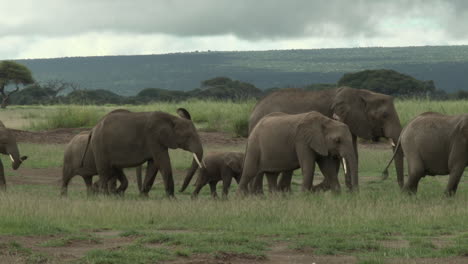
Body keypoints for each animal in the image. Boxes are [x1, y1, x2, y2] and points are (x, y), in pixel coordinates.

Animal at [249, 86, 402, 192]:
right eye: (384, 115)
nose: (384, 174)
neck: (360, 93)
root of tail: (254, 110)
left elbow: (350, 153)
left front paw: (351, 191)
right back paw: (260, 194)